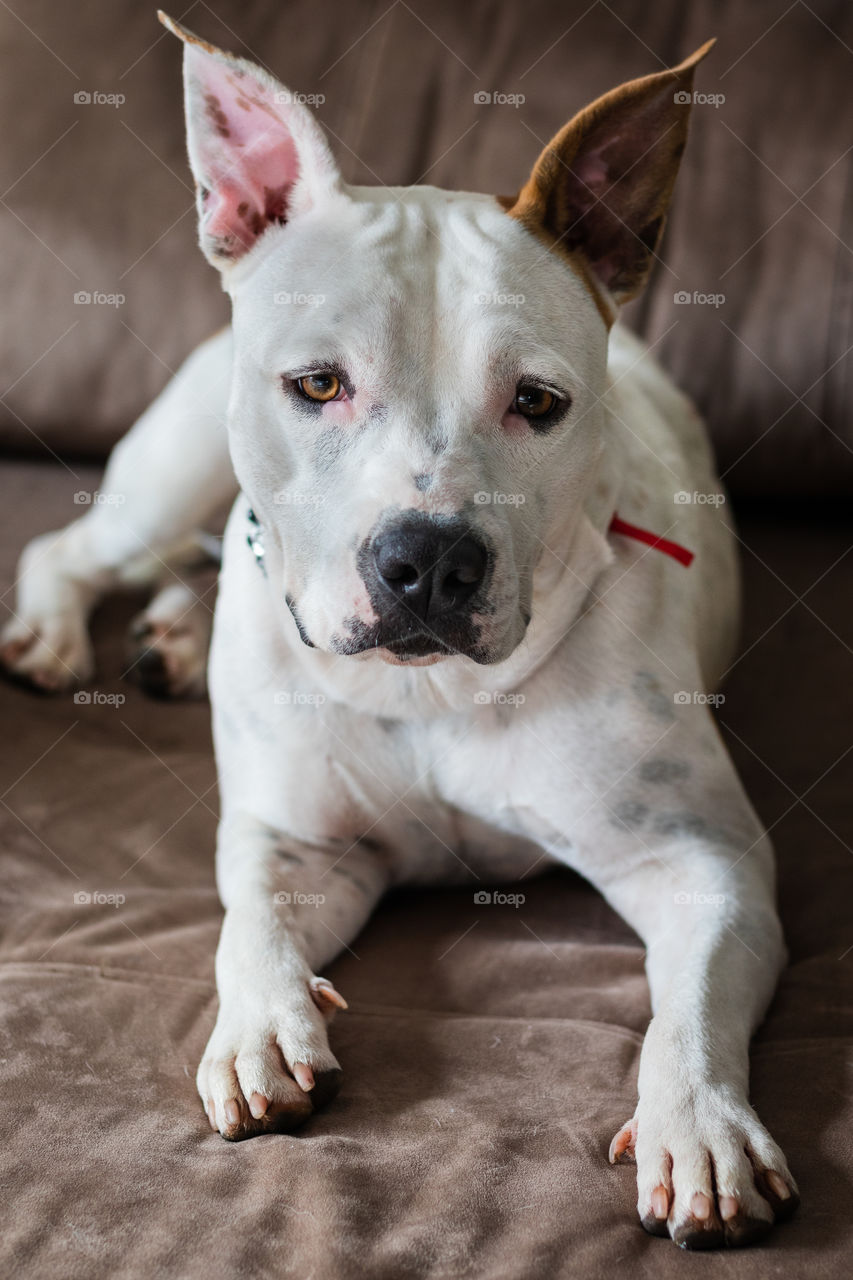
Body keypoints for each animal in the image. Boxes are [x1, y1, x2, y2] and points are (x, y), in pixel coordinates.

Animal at [1, 12, 799, 1249]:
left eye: (539, 403)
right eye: (317, 384)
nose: (426, 559)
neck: (427, 689)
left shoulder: (703, 863)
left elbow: (695, 1007)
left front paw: (701, 1126)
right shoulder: (298, 841)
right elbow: (247, 921)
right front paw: (260, 1028)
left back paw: (174, 634)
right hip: (171, 477)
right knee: (77, 547)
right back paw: (55, 633)